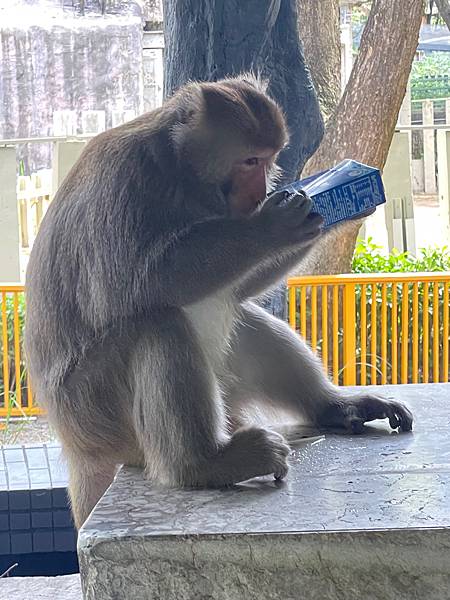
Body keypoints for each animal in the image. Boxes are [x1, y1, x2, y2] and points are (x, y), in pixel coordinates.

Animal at [23, 75, 412, 528]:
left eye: (268, 160)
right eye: (249, 161)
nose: (262, 190)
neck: (178, 169)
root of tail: (76, 449)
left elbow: (236, 289)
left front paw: (337, 203)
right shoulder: (124, 183)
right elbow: (138, 283)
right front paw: (272, 227)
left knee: (238, 316)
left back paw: (334, 407)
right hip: (95, 412)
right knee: (158, 323)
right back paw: (203, 464)